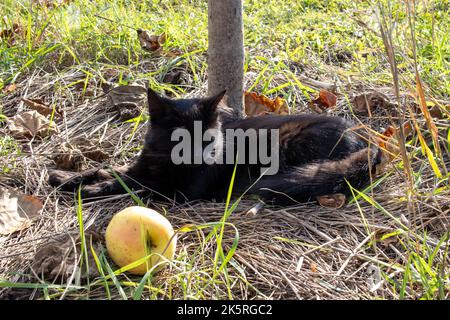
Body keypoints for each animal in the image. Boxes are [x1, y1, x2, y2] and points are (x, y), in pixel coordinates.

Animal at [48, 88, 380, 205]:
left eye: (207, 138)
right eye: (178, 138)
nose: (200, 155)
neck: (164, 162)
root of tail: (369, 141)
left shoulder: (177, 192)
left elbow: (130, 185)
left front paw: (89, 191)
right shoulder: (138, 168)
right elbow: (108, 169)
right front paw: (64, 177)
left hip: (287, 141)